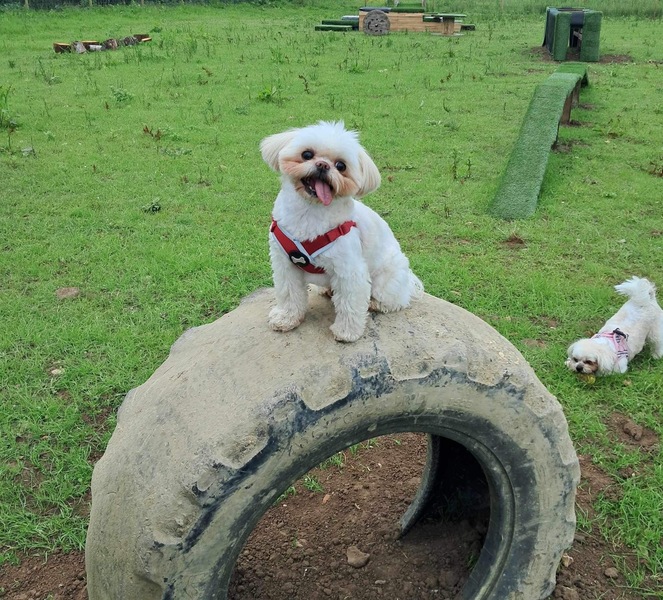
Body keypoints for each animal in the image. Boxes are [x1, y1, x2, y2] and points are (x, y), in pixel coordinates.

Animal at [260, 121, 423, 342]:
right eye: (307, 154)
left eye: (341, 166)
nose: (323, 165)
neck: (310, 211)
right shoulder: (285, 264)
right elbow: (288, 293)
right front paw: (286, 318)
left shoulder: (349, 269)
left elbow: (349, 302)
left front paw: (347, 332)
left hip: (387, 280)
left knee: (397, 299)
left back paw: (377, 303)